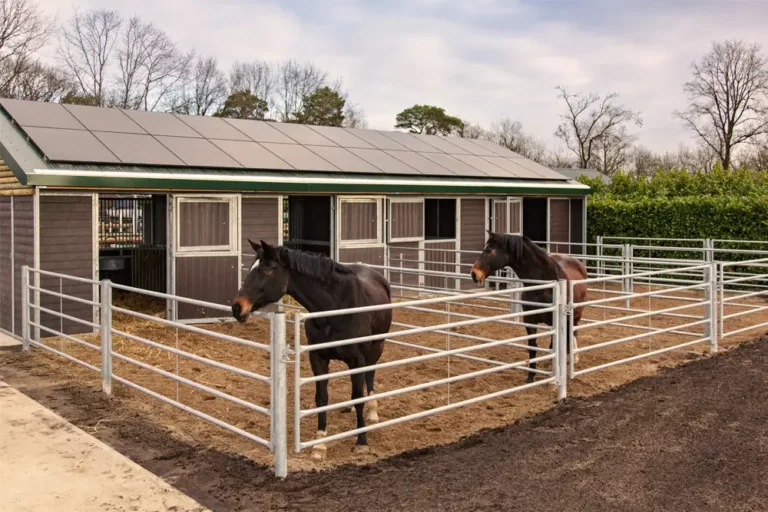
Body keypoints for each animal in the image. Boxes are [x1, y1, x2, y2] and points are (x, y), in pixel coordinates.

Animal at [231, 240, 392, 460]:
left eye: (267, 270)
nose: (237, 307)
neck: (335, 306)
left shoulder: (357, 358)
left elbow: (359, 397)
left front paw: (361, 441)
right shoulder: (318, 358)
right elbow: (322, 398)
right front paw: (319, 444)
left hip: (376, 347)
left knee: (369, 376)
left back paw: (373, 412)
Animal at [468, 231, 588, 380]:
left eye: (489, 250)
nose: (474, 273)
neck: (543, 285)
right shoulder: (530, 320)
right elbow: (532, 346)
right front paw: (530, 376)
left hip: (575, 315)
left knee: (573, 332)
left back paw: (573, 358)